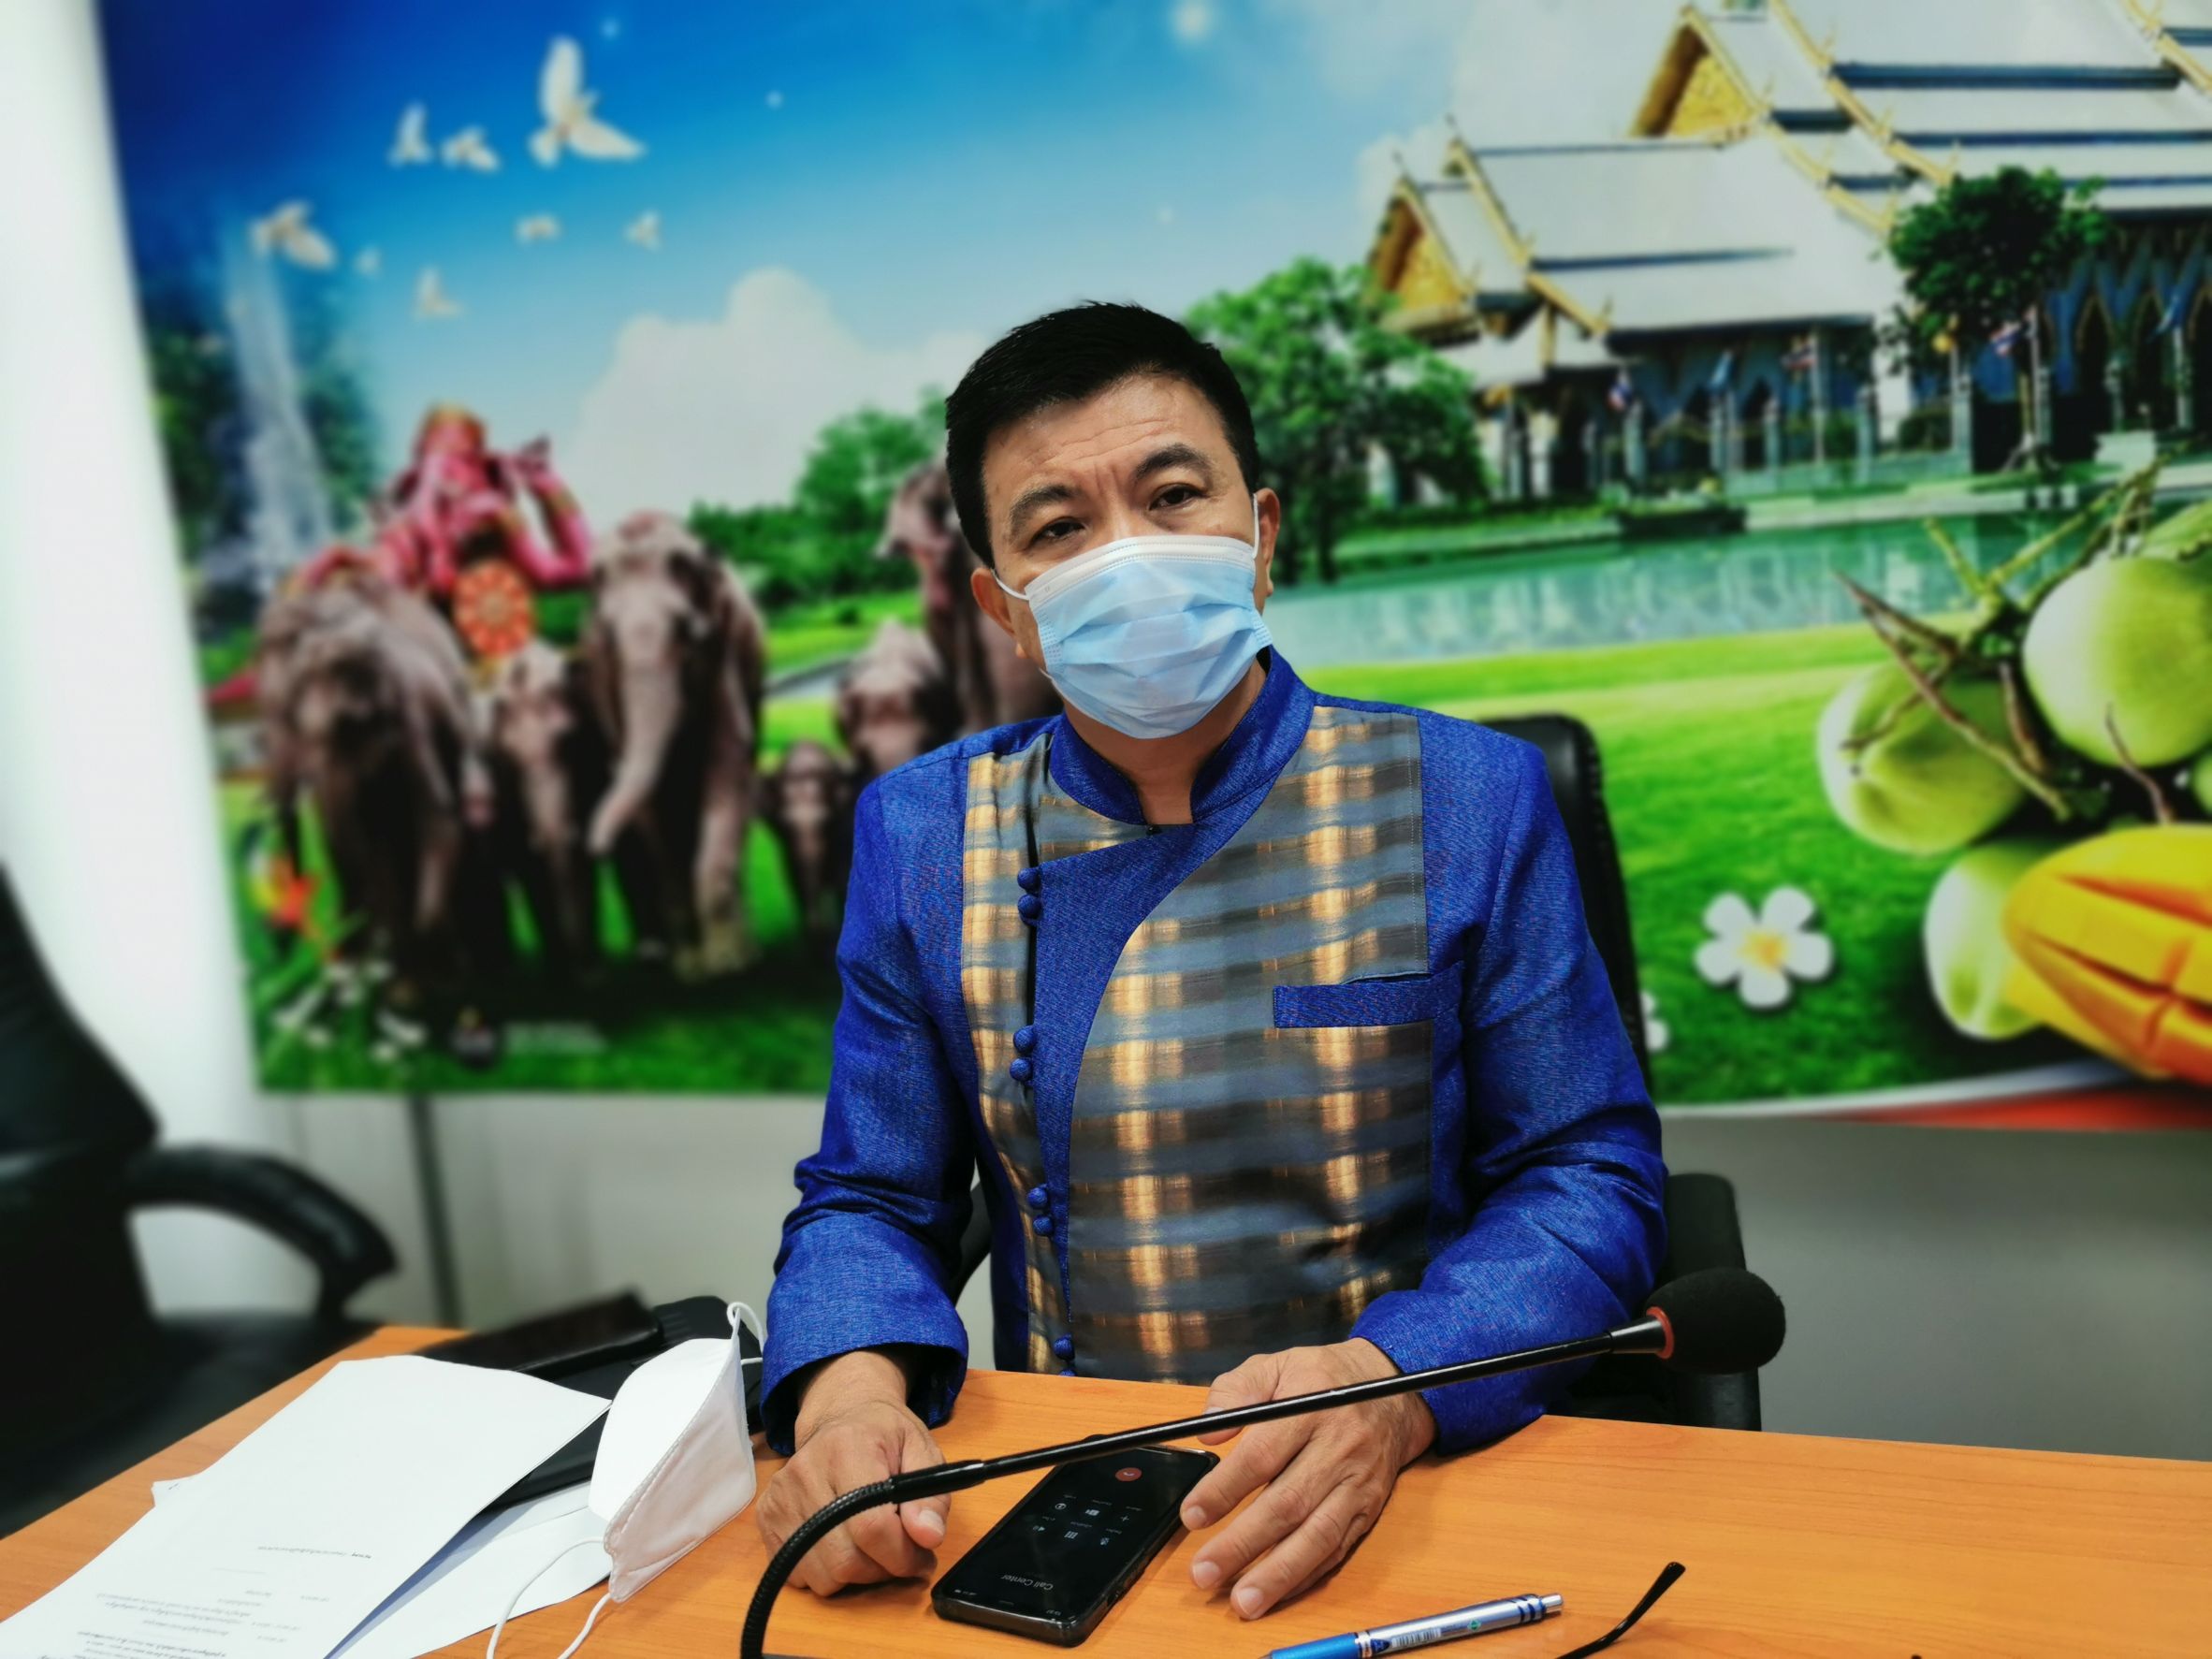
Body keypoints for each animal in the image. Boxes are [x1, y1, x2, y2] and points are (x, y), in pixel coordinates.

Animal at [582, 511, 767, 976]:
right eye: (608, 637)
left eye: (688, 633)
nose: (595, 847)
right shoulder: (605, 681)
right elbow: (651, 809)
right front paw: (691, 971)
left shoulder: (722, 651)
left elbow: (728, 758)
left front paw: (727, 967)